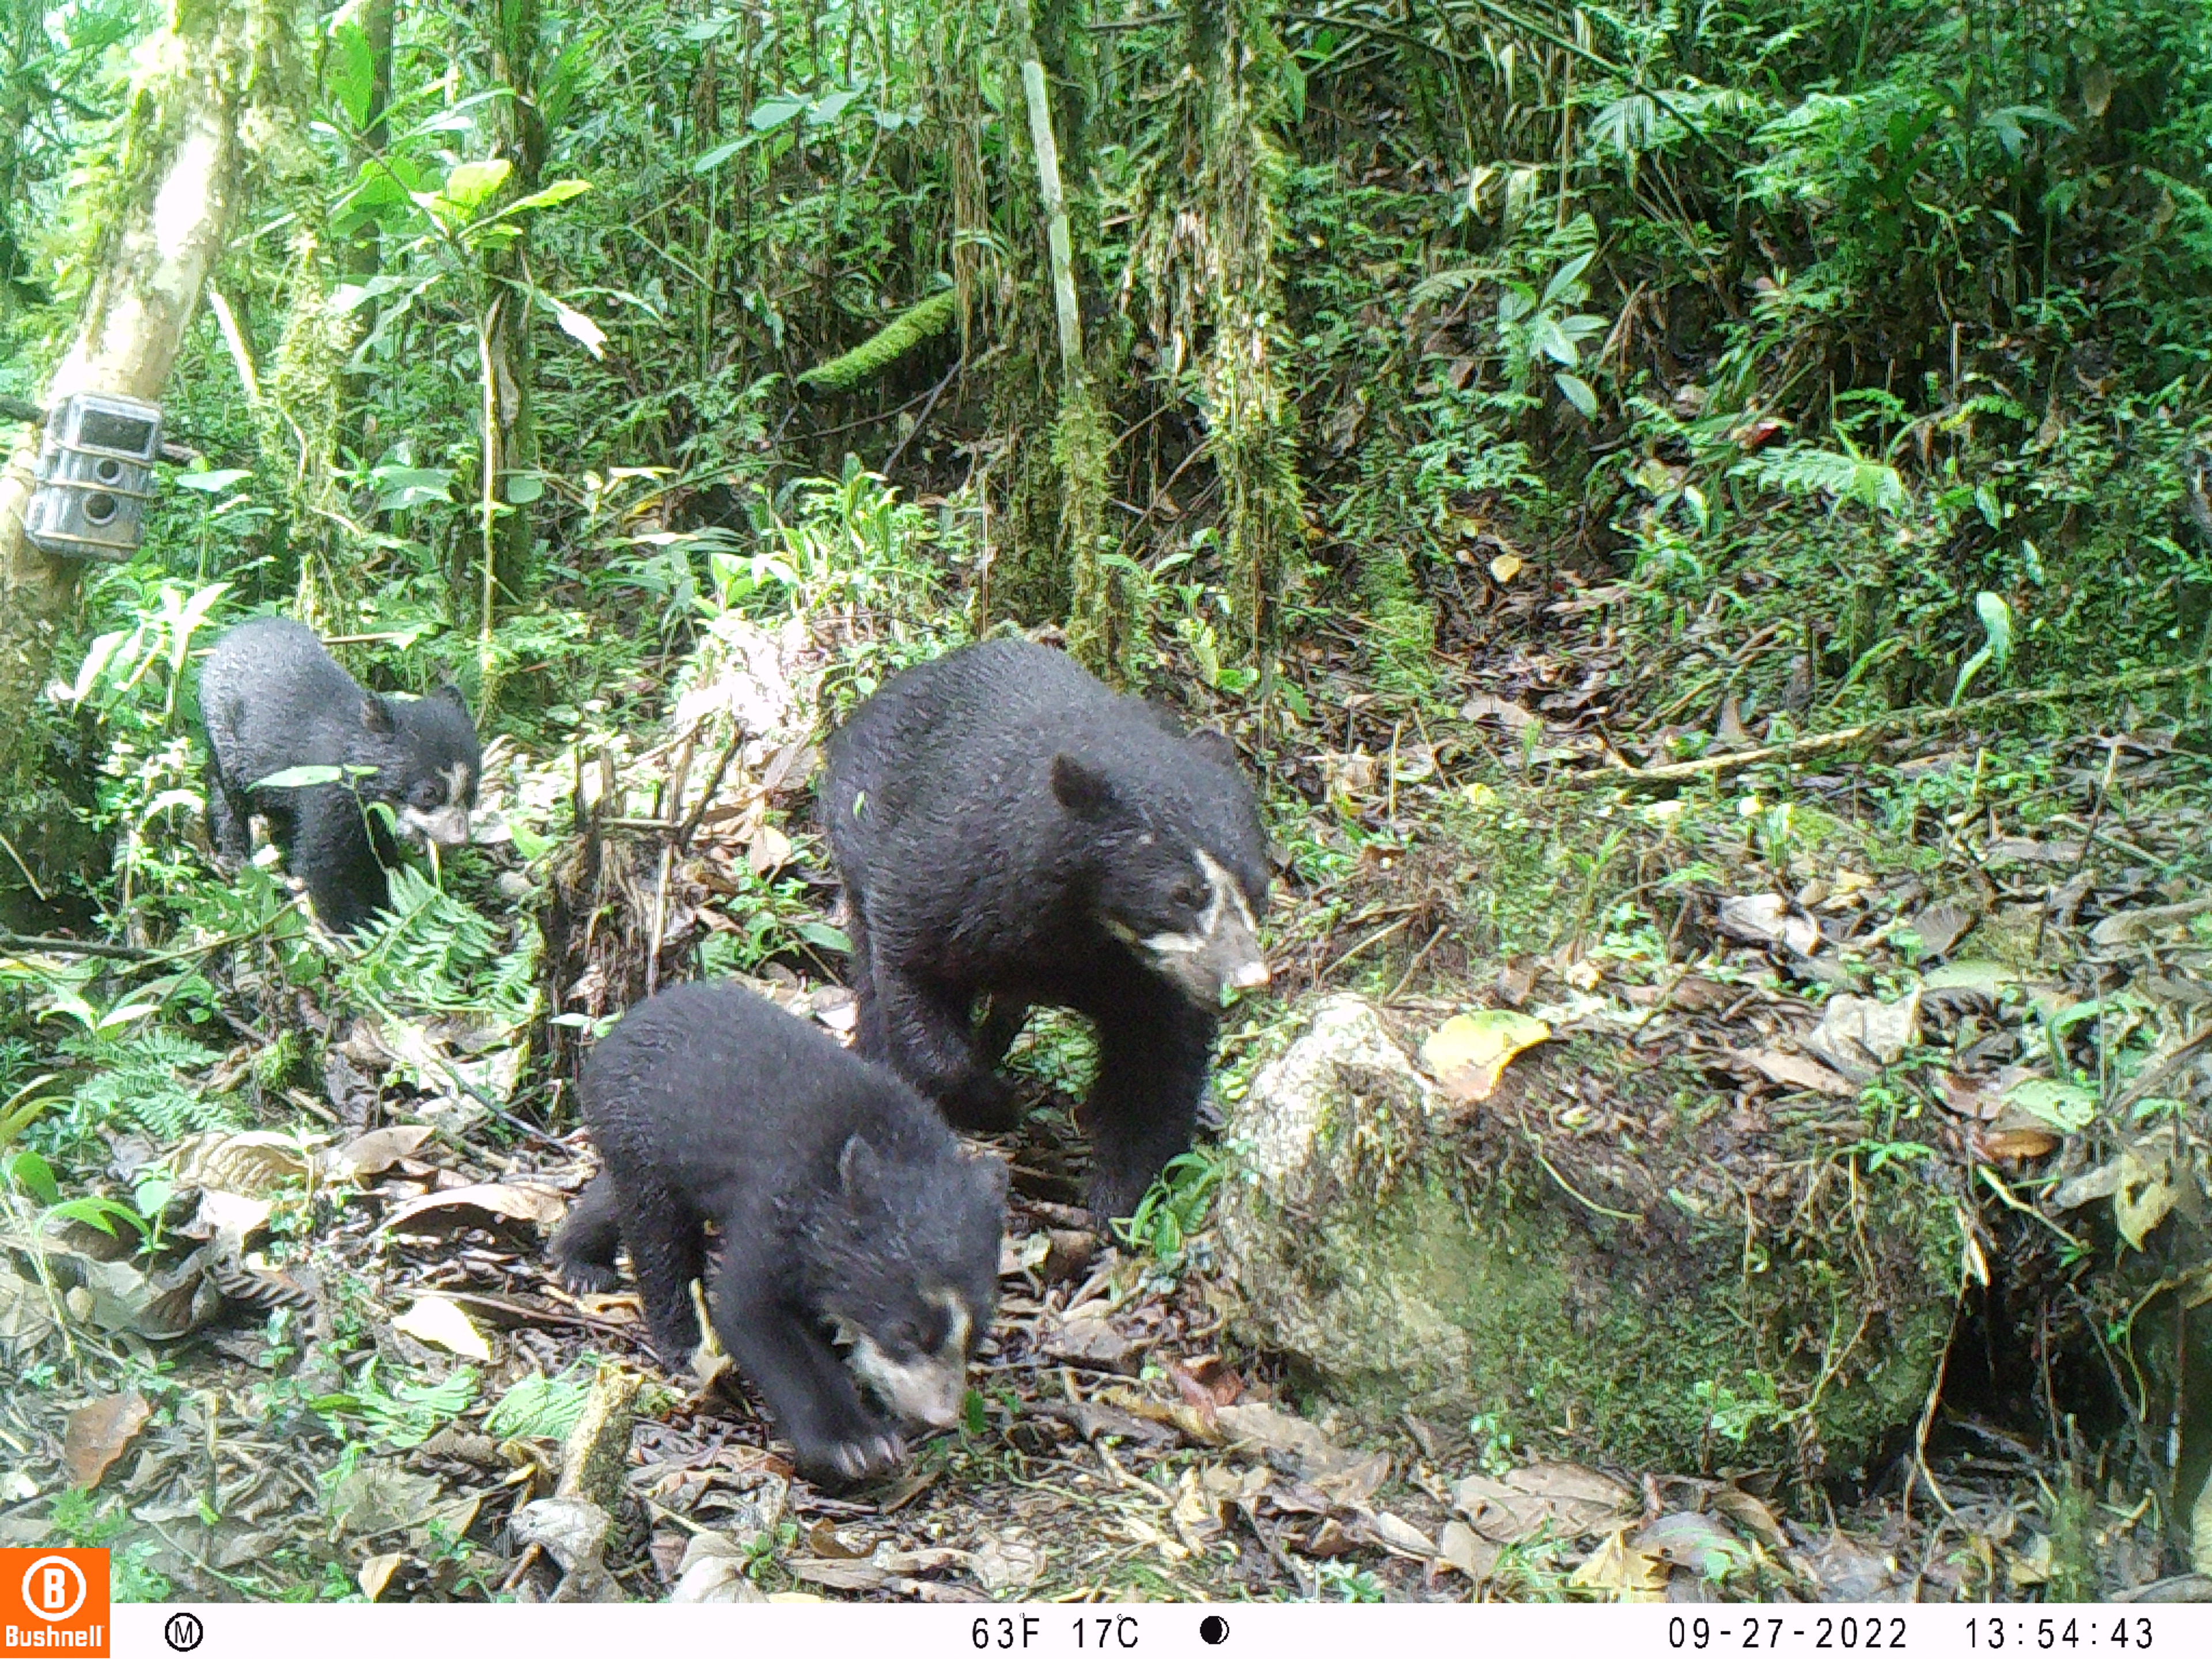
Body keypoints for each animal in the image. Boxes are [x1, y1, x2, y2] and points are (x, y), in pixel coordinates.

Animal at [197, 617, 480, 934]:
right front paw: (347, 927)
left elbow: (378, 858)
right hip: (228, 742)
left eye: (473, 791)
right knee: (228, 794)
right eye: (428, 793)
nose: (458, 840)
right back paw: (234, 855)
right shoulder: (328, 791)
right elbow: (322, 863)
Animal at [549, 979, 1006, 1486]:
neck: (895, 1147)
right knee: (659, 1236)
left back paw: (580, 1259)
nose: (941, 1416)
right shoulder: (780, 1199)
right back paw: (674, 1335)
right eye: (906, 1332)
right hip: (640, 1129)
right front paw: (857, 1446)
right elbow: (752, 1310)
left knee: (616, 1198)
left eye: (978, 1333)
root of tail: (617, 1032)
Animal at [819, 637, 1271, 1223]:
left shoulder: (1149, 975)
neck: (1083, 925)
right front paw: (995, 1103)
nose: (1245, 980)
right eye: (1183, 895)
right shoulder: (950, 876)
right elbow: (912, 969)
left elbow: (1160, 1060)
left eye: (1259, 889)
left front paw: (1121, 1197)